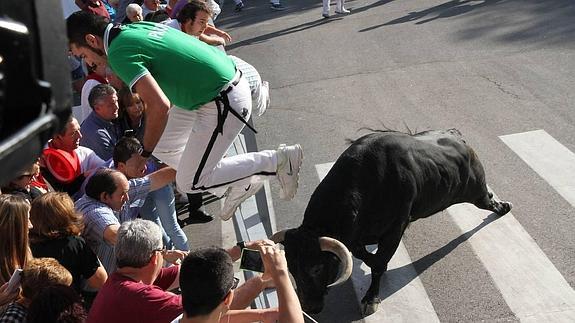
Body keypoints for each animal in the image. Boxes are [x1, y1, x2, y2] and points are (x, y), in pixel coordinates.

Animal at [270, 129, 512, 316]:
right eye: (290, 266)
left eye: (318, 267)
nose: (309, 307)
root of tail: (458, 138)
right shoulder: (356, 238)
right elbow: (366, 256)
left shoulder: (394, 230)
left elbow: (378, 264)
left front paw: (371, 299)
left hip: (475, 190)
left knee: (488, 200)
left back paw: (504, 207)